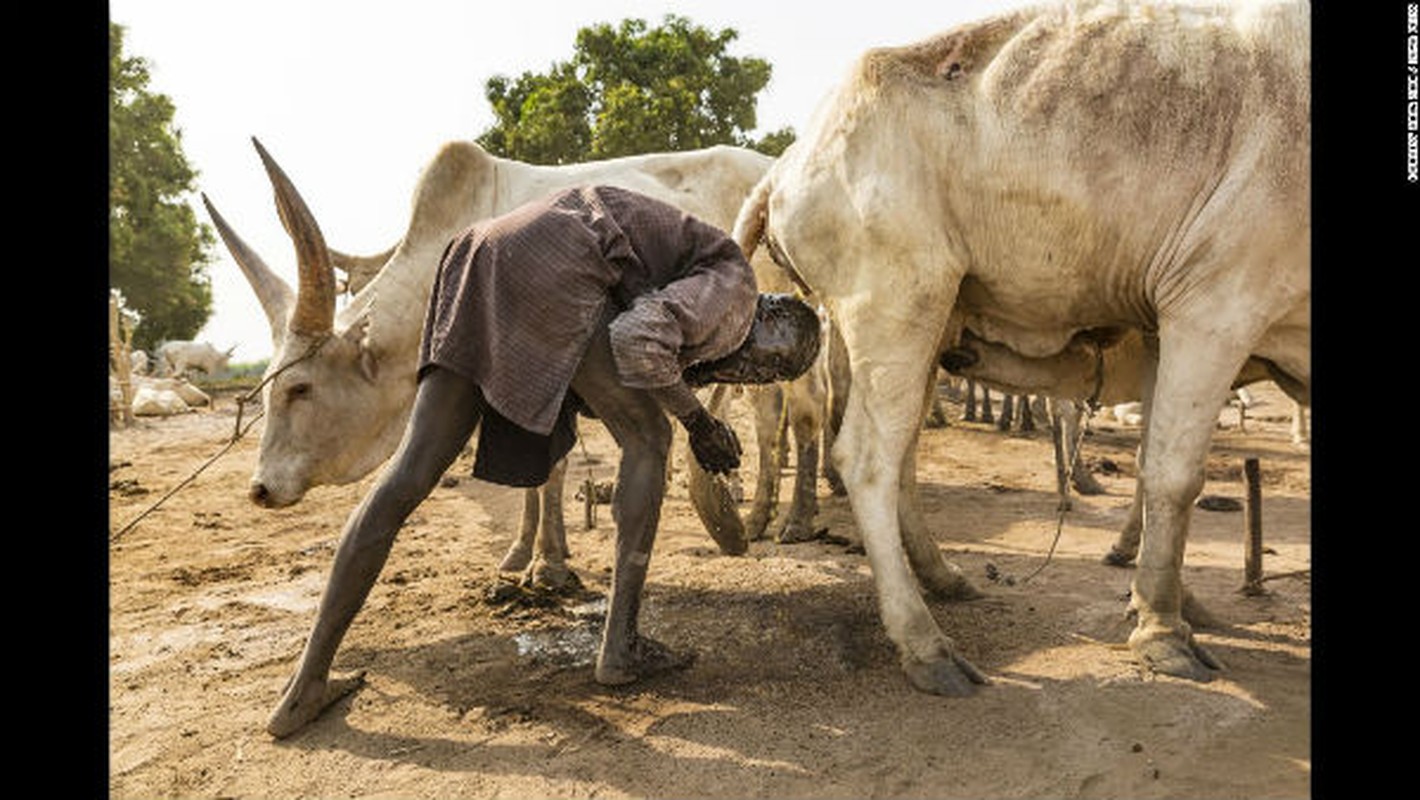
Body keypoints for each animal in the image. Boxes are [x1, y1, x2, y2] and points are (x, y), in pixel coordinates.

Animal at [732, 0, 1306, 687]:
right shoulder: (1214, 306)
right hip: (896, 302)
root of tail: (788, 164)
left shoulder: (1162, 329)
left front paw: (1164, 601)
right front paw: (1164, 631)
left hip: (926, 325)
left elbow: (1151, 466)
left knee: (902, 458)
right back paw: (925, 643)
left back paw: (943, 580)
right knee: (868, 459)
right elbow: (1173, 475)